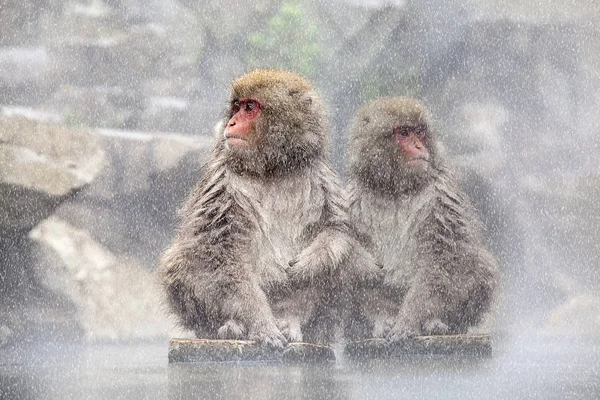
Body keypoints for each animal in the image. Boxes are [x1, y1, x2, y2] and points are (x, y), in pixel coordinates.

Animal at [159, 69, 380, 346]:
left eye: (250, 108)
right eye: (236, 107)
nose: (231, 123)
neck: (271, 169)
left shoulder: (319, 176)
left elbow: (337, 228)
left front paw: (313, 262)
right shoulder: (222, 182)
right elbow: (217, 252)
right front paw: (260, 323)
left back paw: (296, 321)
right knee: (183, 262)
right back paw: (229, 325)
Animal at [344, 97, 500, 340]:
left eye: (420, 131)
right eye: (403, 133)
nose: (419, 147)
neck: (394, 189)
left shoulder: (441, 197)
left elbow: (445, 258)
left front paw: (409, 320)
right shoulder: (350, 205)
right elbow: (357, 267)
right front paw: (381, 319)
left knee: (478, 263)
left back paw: (438, 323)